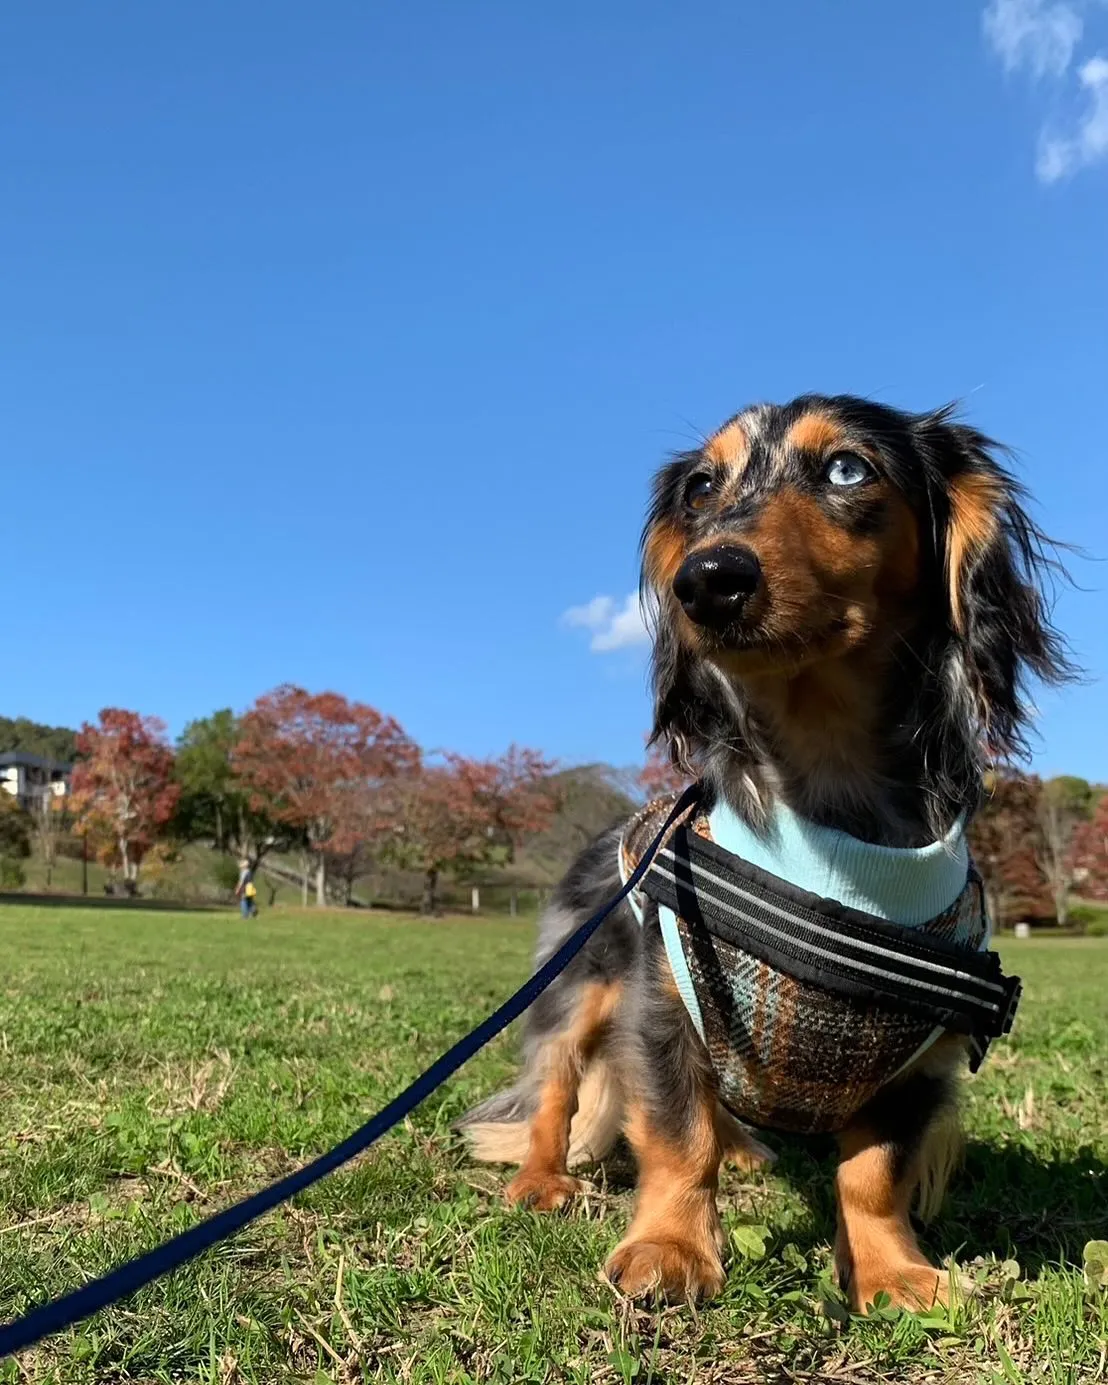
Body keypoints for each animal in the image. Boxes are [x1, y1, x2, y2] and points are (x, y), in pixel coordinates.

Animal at [454, 398, 1069, 1307]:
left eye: (847, 469)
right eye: (703, 488)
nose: (706, 580)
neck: (829, 819)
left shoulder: (916, 1065)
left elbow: (872, 1175)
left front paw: (892, 1271)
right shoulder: (664, 1004)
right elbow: (676, 1137)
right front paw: (670, 1245)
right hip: (576, 986)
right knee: (556, 1089)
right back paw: (542, 1179)